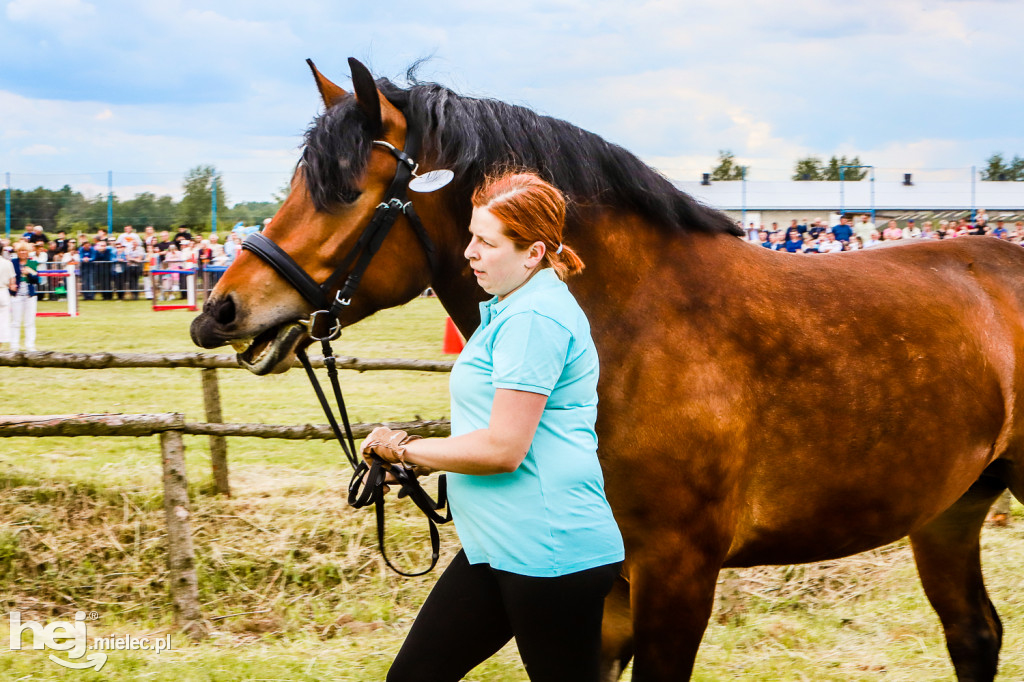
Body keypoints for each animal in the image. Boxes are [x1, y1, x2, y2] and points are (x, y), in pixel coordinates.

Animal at [188, 59, 1019, 679]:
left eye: (343, 190)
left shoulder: (677, 575)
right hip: (948, 512)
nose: (219, 311)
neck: (636, 327)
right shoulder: (606, 591)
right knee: (974, 634)